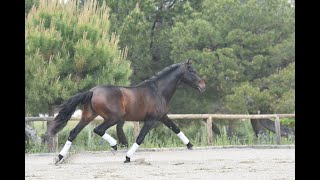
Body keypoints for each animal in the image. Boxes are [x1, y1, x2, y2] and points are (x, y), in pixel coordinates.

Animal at [48, 58, 206, 163]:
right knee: (98, 130)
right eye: (193, 71)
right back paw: (114, 145)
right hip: (113, 118)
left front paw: (190, 146)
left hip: (88, 116)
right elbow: (140, 138)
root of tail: (92, 91)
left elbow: (176, 129)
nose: (203, 86)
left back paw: (59, 157)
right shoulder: (151, 120)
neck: (157, 90)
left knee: (73, 133)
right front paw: (128, 157)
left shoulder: (162, 117)